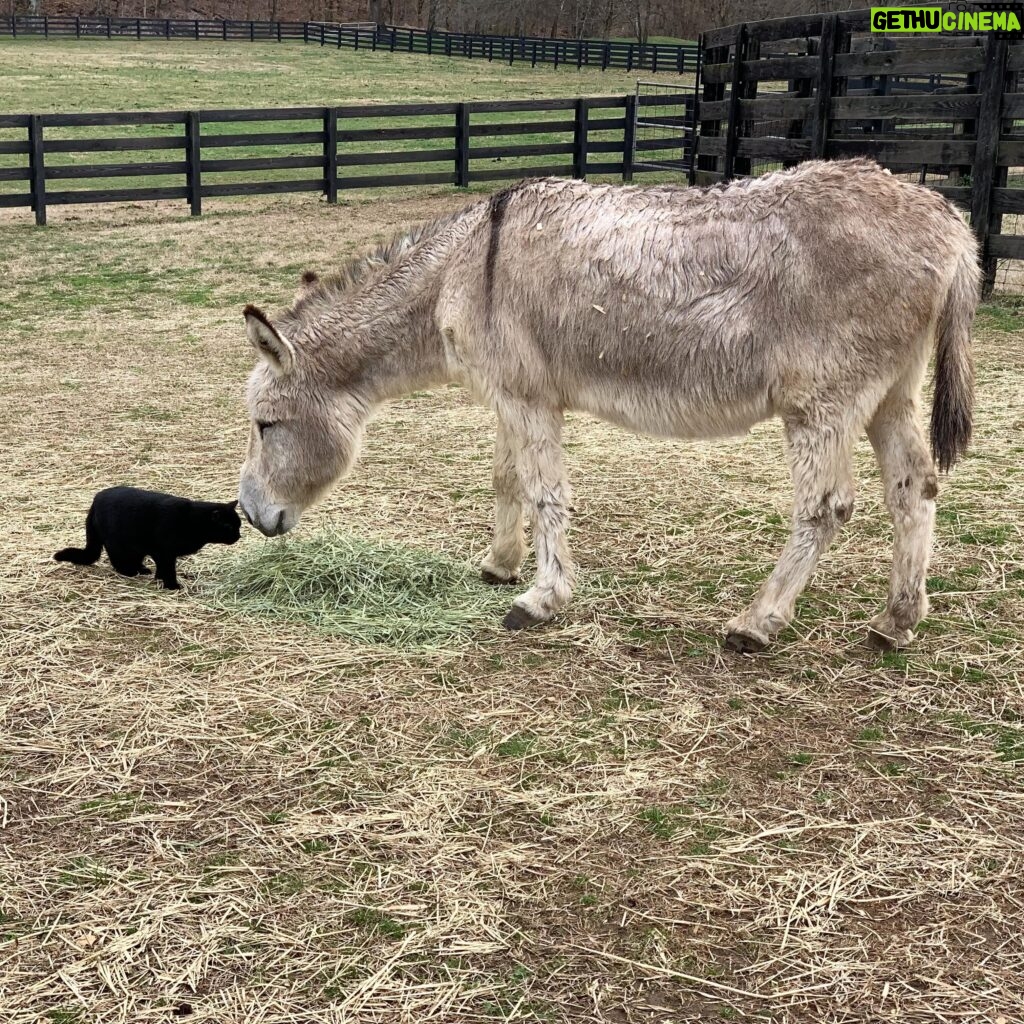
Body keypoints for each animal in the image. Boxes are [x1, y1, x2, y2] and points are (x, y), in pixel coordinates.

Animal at [54, 487, 241, 593]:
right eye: (229, 527)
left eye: (239, 525)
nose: (239, 536)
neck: (191, 521)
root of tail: (95, 500)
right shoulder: (165, 552)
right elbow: (168, 569)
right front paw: (172, 586)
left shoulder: (158, 551)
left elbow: (161, 567)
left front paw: (159, 578)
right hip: (120, 544)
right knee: (117, 560)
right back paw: (131, 572)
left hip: (137, 547)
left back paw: (142, 569)